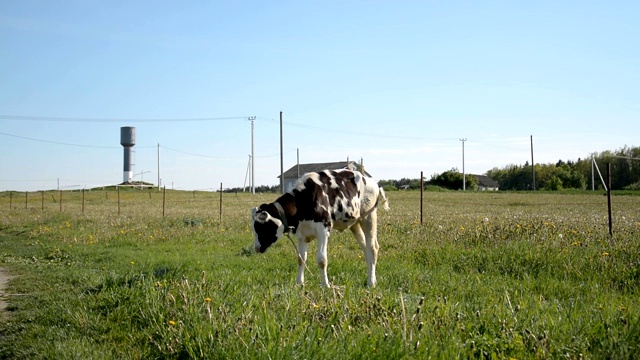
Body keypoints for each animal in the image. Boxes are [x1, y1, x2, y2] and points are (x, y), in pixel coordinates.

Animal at [252, 170, 388, 288]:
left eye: (261, 228)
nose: (257, 248)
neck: (302, 200)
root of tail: (374, 182)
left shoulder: (324, 229)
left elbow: (322, 260)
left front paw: (325, 285)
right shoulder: (302, 234)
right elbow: (301, 259)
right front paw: (299, 283)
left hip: (369, 217)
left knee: (373, 248)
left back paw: (371, 282)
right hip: (355, 223)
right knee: (365, 248)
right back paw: (372, 279)